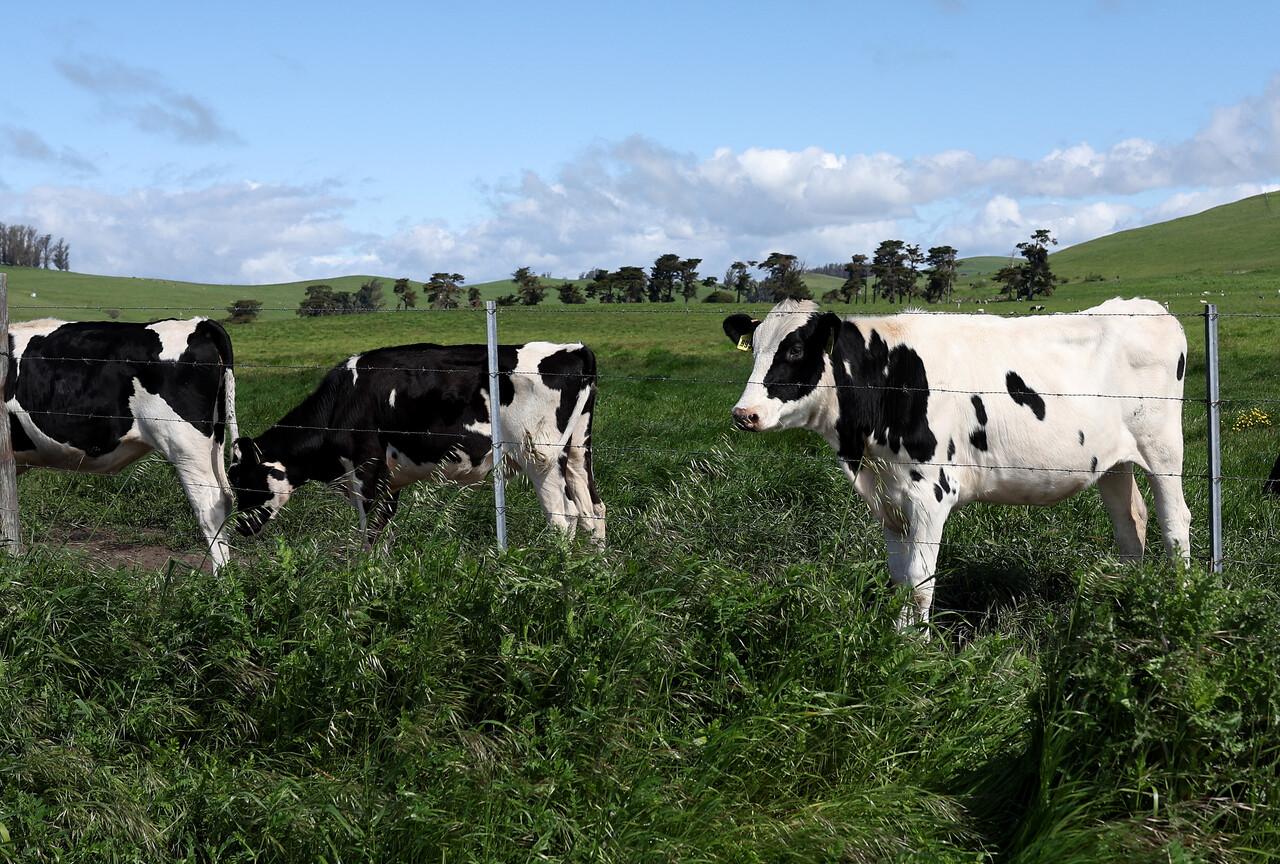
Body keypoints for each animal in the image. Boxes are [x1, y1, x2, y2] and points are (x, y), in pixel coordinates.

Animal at [6, 318, 238, 568]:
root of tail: (199, 323)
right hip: (213, 441)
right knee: (224, 501)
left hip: (185, 445)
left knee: (209, 506)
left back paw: (219, 575)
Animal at [228, 341, 605, 546]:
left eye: (245, 482)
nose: (239, 529)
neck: (342, 401)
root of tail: (574, 350)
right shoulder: (391, 479)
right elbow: (383, 527)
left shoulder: (366, 470)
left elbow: (368, 530)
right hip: (577, 451)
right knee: (594, 510)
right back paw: (593, 573)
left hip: (539, 456)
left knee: (564, 518)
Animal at [724, 298, 1192, 627]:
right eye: (755, 350)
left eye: (795, 349)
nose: (744, 413)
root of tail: (1148, 308)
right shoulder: (889, 499)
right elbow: (901, 579)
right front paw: (897, 639)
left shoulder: (930, 494)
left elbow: (920, 582)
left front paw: (916, 653)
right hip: (1112, 462)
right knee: (1131, 522)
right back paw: (1122, 598)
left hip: (1164, 448)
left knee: (1175, 522)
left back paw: (1183, 596)